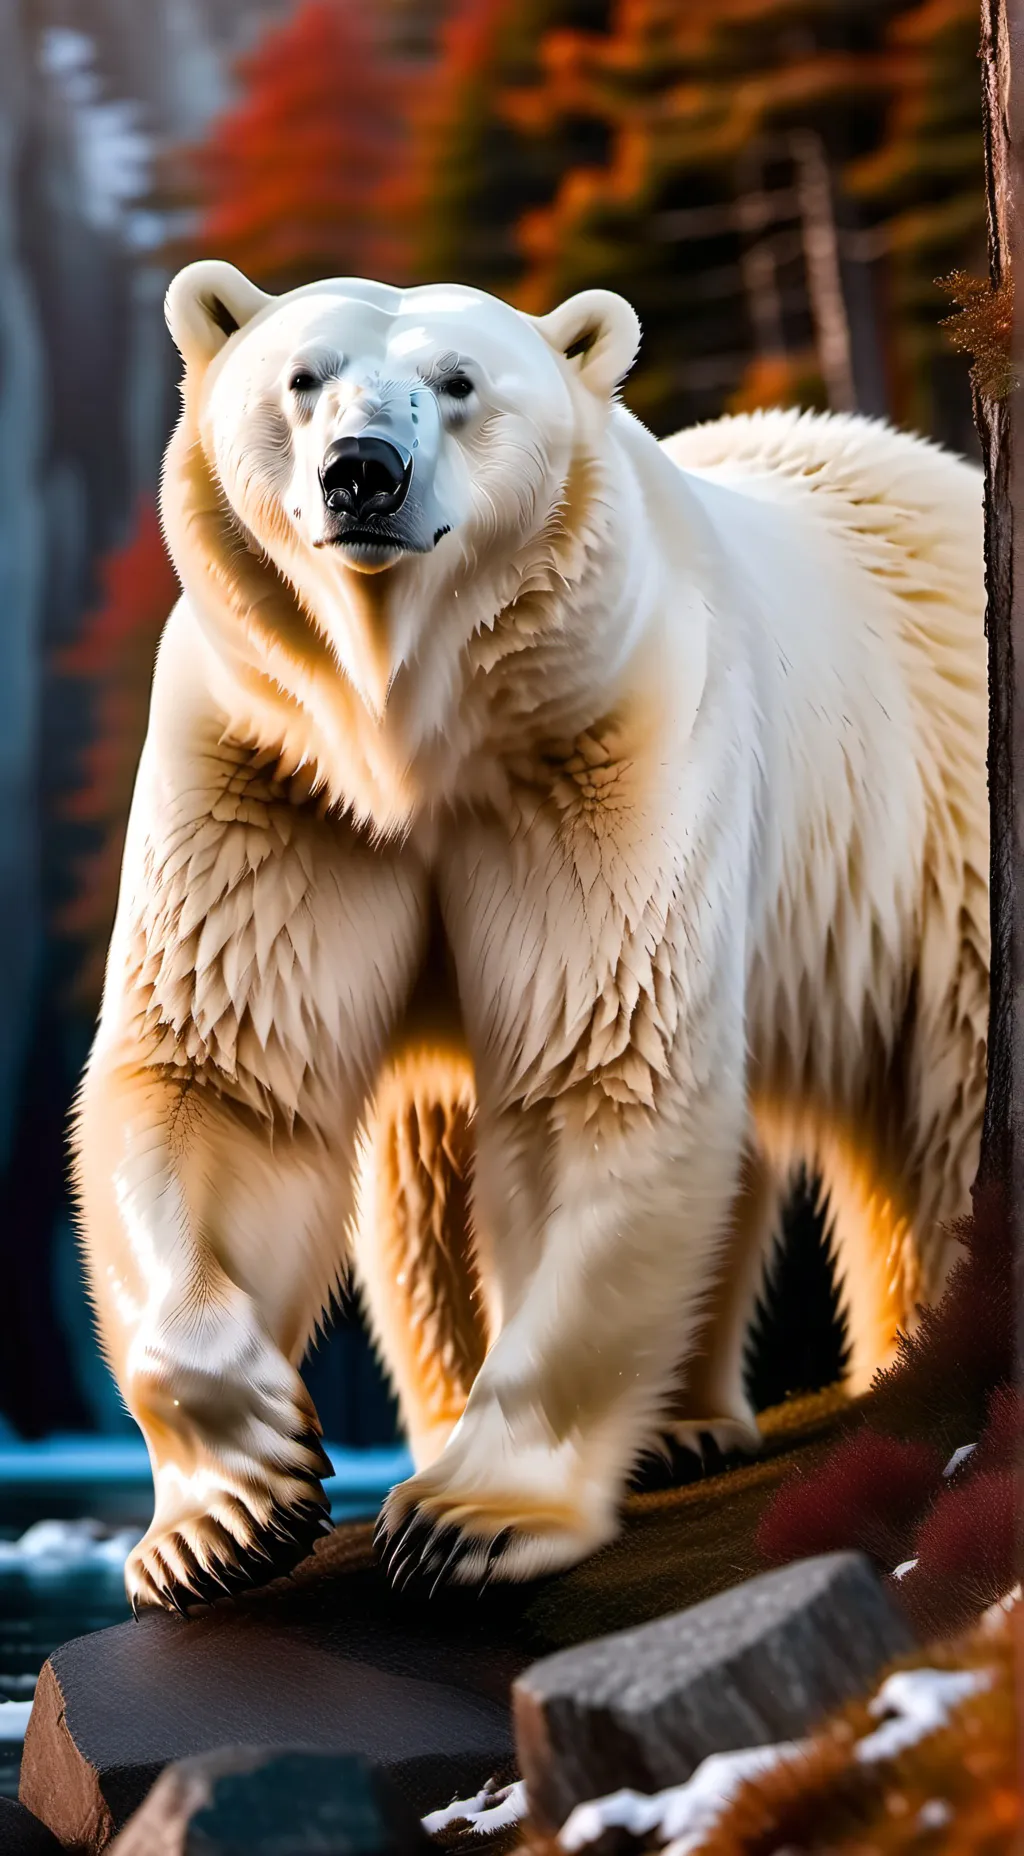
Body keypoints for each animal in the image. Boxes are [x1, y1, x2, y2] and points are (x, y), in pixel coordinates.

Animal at [72, 259, 989, 1614]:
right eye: (302, 376)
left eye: (458, 382)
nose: (362, 472)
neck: (412, 727)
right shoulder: (268, 768)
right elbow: (220, 1076)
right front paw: (228, 1511)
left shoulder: (605, 742)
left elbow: (596, 1070)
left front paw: (471, 1517)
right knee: (429, 1183)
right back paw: (664, 1420)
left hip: (928, 841)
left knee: (937, 1116)